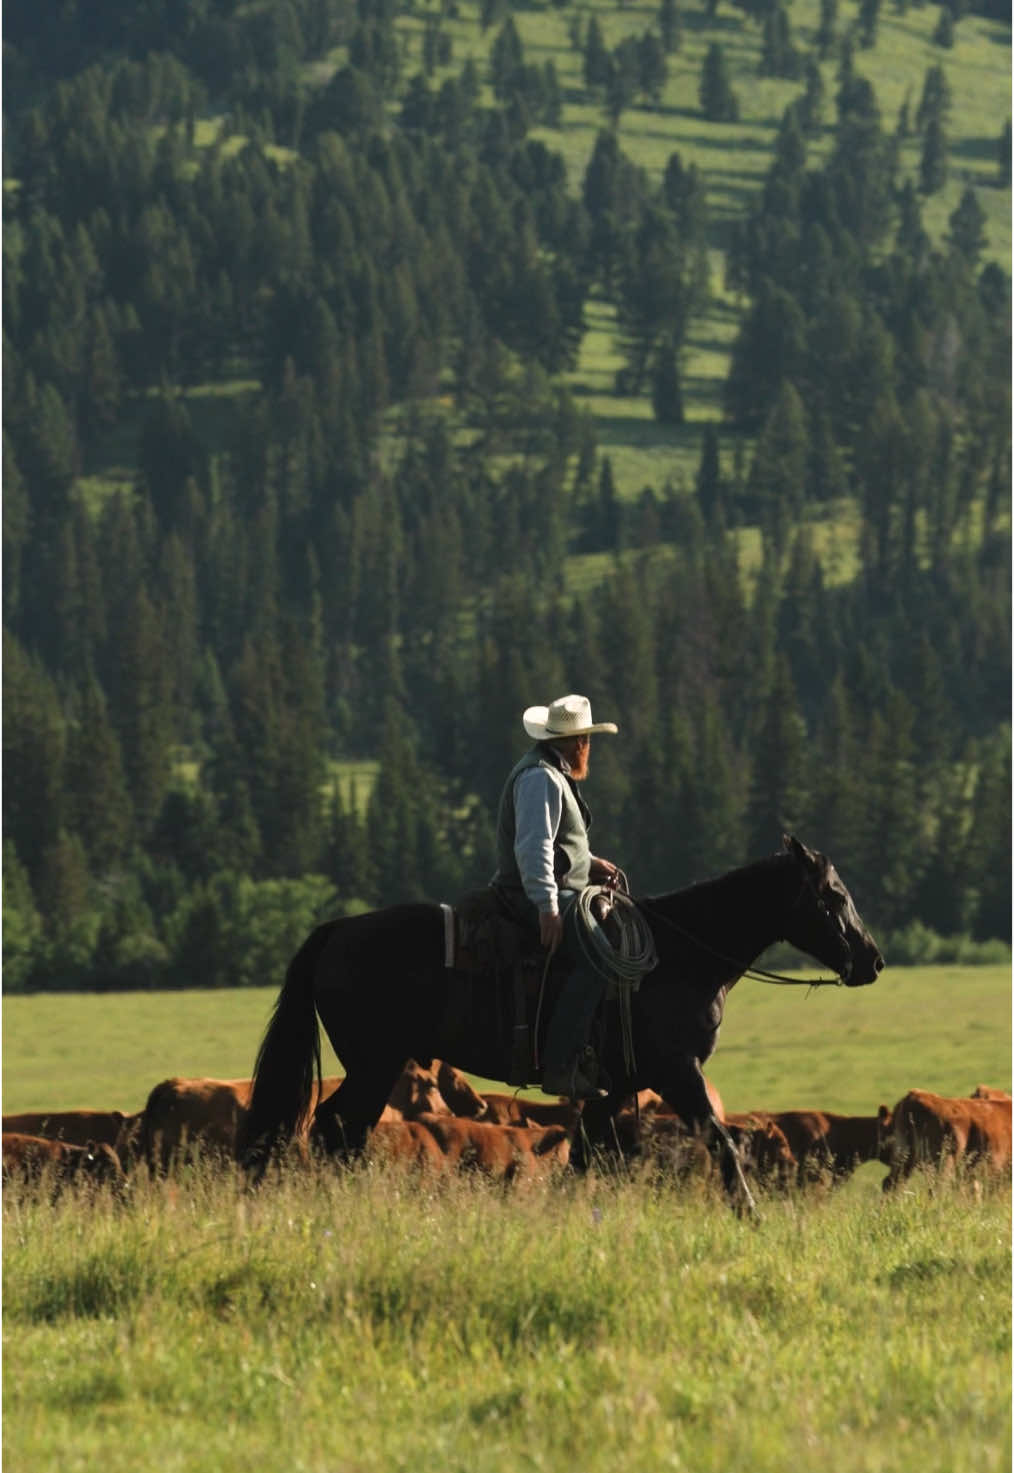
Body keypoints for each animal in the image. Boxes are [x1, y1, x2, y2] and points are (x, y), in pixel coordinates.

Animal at [240, 836, 878, 1201]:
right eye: (833, 896)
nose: (872, 959)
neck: (679, 955)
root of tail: (335, 930)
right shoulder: (678, 1070)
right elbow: (720, 1138)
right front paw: (750, 1214)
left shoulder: (612, 1086)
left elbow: (587, 1155)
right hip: (374, 1064)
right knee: (335, 1128)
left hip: (374, 1065)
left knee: (337, 1129)